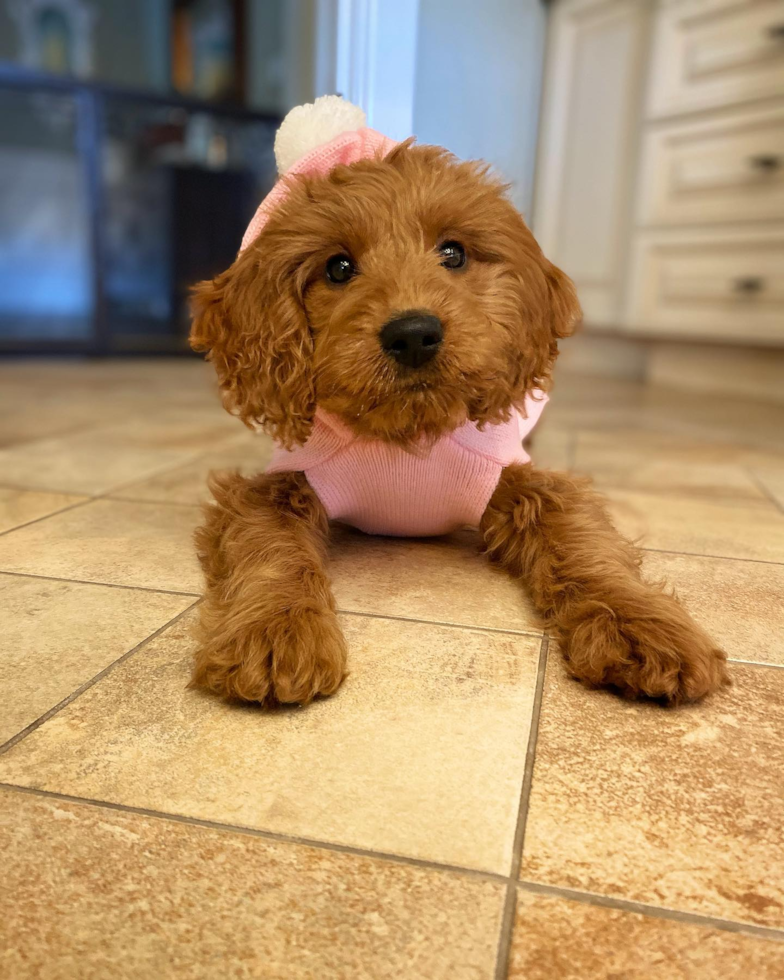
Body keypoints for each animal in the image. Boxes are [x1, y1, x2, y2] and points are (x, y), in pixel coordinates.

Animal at [190, 99, 728, 708]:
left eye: (453, 252)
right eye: (338, 268)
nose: (413, 334)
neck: (409, 436)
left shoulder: (529, 483)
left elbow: (587, 545)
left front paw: (640, 625)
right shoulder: (276, 487)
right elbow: (269, 548)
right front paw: (276, 629)